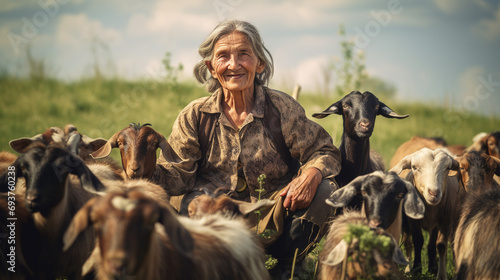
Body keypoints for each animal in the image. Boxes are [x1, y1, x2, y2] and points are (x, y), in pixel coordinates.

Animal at [390, 148, 464, 278]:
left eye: (448, 168)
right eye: (414, 167)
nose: (434, 193)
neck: (429, 207)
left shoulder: (445, 220)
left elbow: (440, 245)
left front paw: (440, 274)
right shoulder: (413, 220)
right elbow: (418, 240)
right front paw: (416, 269)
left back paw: (432, 268)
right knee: (408, 243)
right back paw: (408, 269)